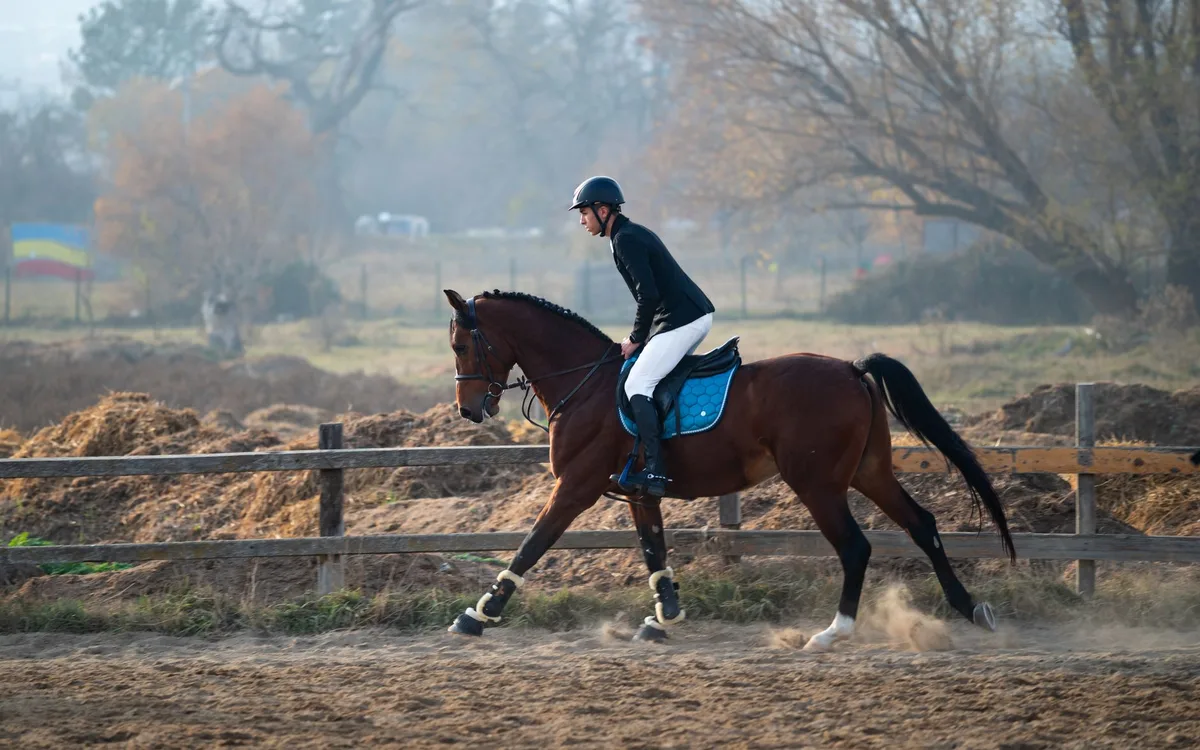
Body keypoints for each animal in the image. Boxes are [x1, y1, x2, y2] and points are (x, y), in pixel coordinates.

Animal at [442, 289, 1015, 649]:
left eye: (462, 345)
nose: (468, 411)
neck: (586, 384)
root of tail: (852, 369)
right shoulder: (639, 492)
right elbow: (654, 553)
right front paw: (664, 618)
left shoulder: (575, 487)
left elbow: (533, 543)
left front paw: (479, 613)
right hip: (868, 473)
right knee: (922, 525)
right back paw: (971, 610)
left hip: (817, 484)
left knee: (856, 547)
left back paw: (833, 632)